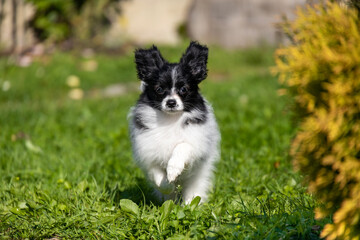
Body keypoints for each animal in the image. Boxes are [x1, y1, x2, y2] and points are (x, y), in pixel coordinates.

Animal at [128, 41, 221, 204]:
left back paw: (189, 205)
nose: (171, 102)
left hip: (197, 179)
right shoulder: (148, 152)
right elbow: (156, 175)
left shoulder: (196, 143)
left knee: (194, 192)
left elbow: (182, 146)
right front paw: (168, 184)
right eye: (159, 89)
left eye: (183, 89)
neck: (170, 120)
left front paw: (173, 170)